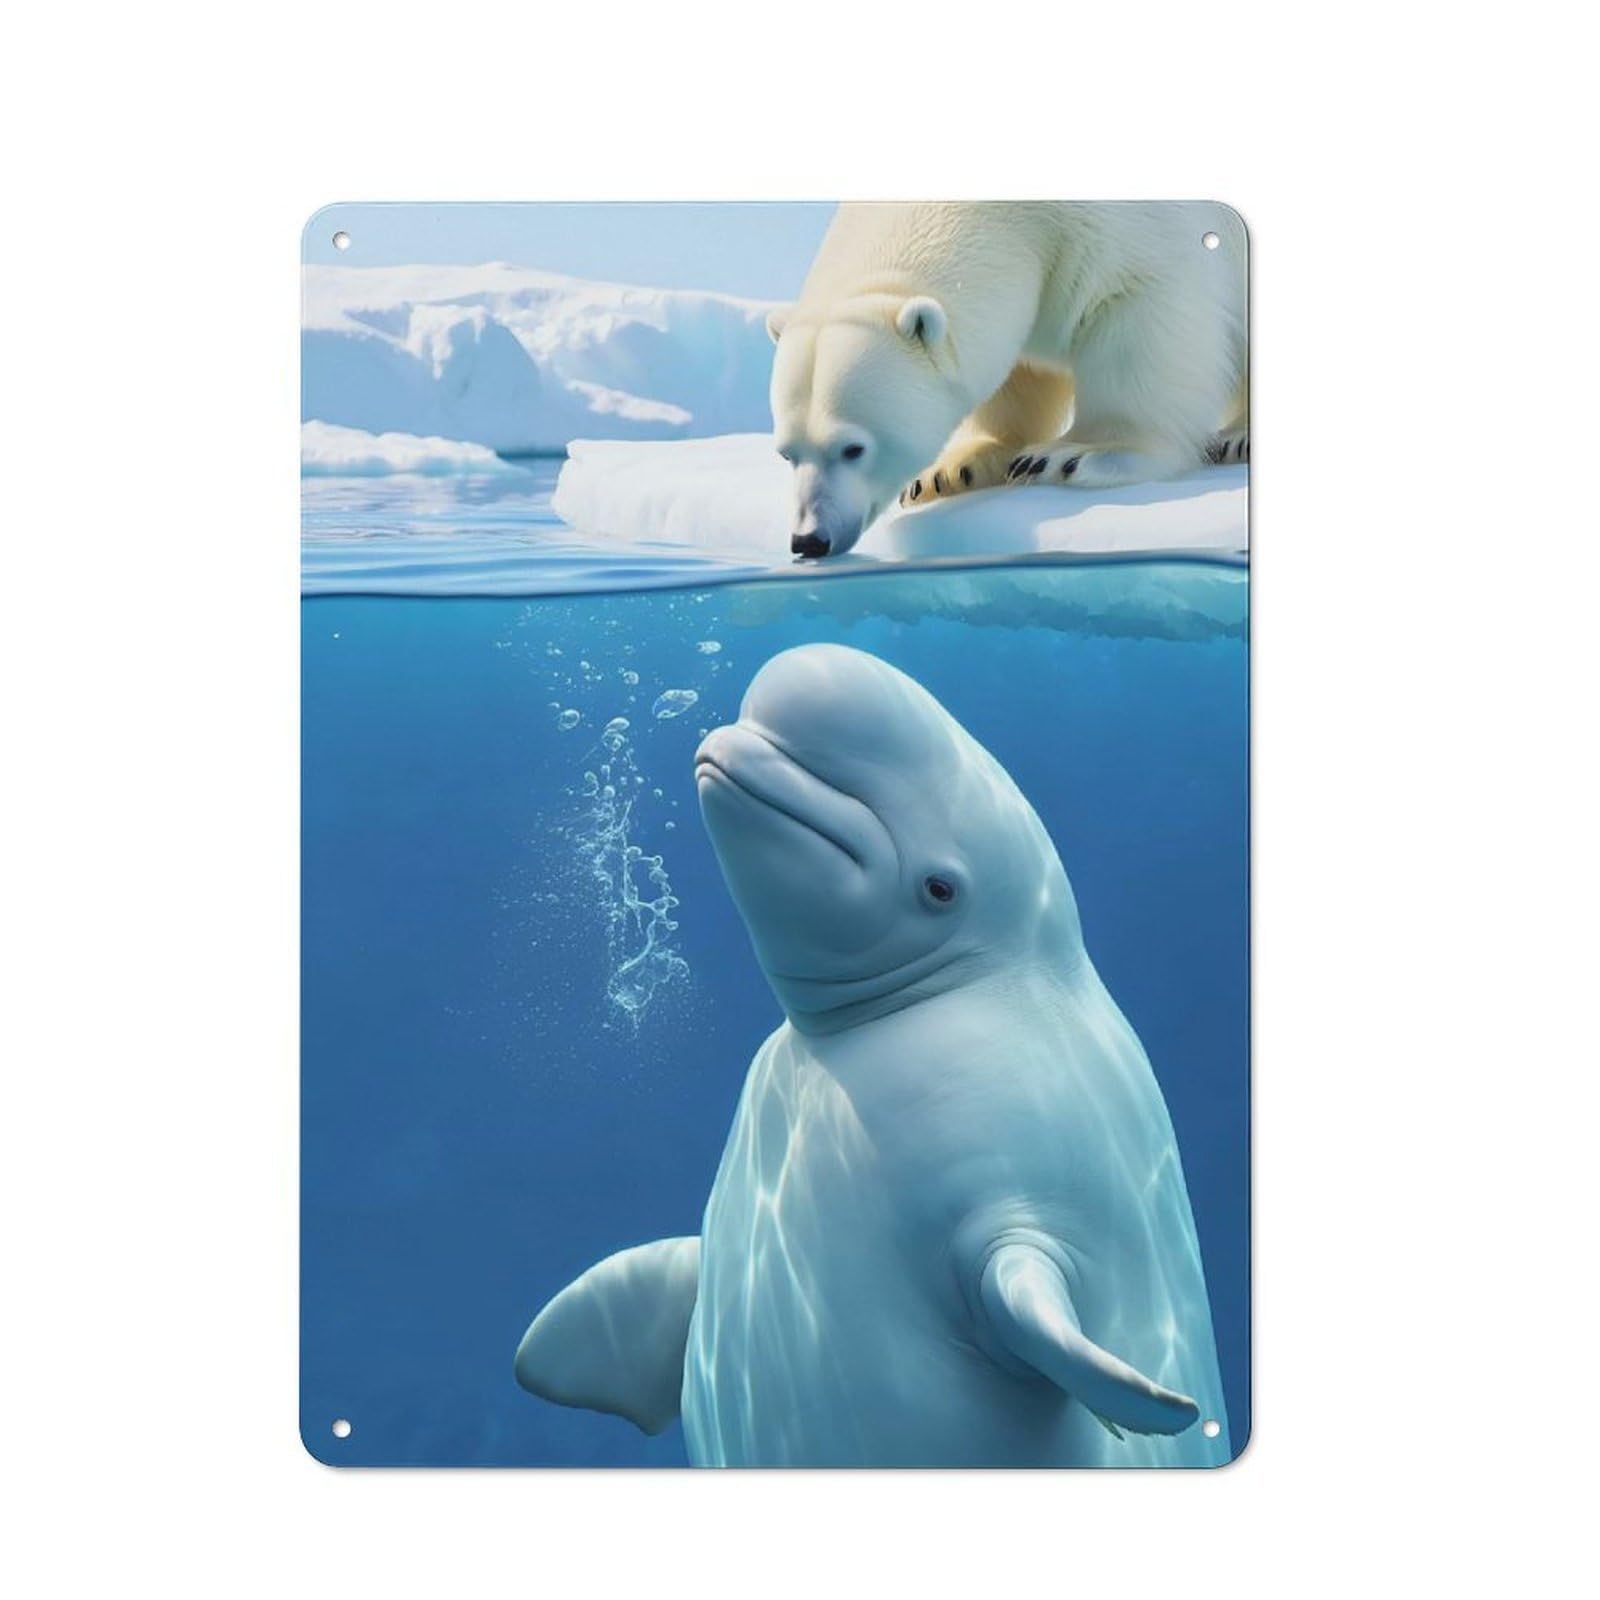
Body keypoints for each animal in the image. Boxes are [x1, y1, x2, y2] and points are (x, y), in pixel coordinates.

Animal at [766, 202, 1248, 558]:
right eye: (787, 453)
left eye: (853, 448)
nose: (809, 540)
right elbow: (1015, 374)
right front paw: (952, 470)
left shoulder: (1139, 236)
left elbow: (1142, 316)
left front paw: (1071, 454)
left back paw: (1236, 439)